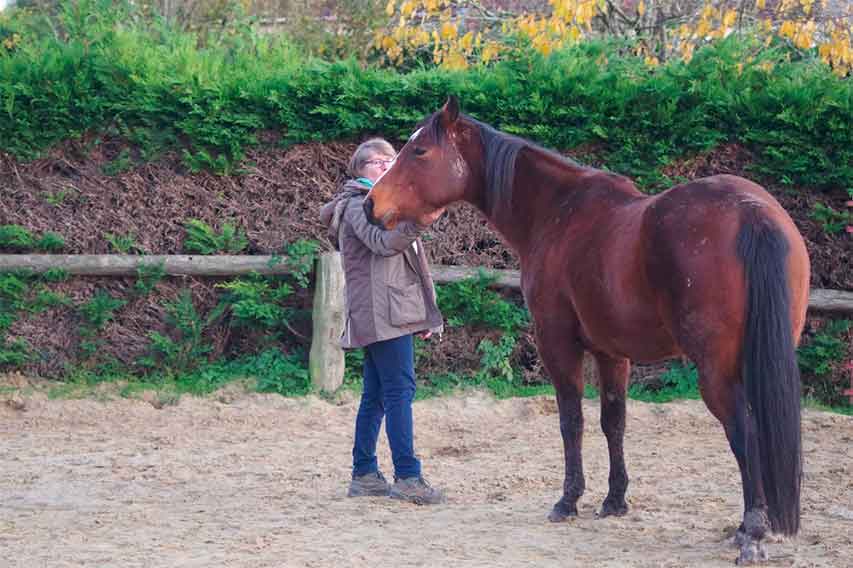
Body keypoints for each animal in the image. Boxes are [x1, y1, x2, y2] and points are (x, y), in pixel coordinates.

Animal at [362, 97, 808, 564]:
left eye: (419, 151)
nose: (371, 205)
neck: (558, 212)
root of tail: (751, 210)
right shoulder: (612, 353)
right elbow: (614, 421)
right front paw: (614, 501)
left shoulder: (558, 344)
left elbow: (571, 420)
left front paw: (568, 500)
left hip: (717, 372)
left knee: (746, 432)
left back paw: (753, 531)